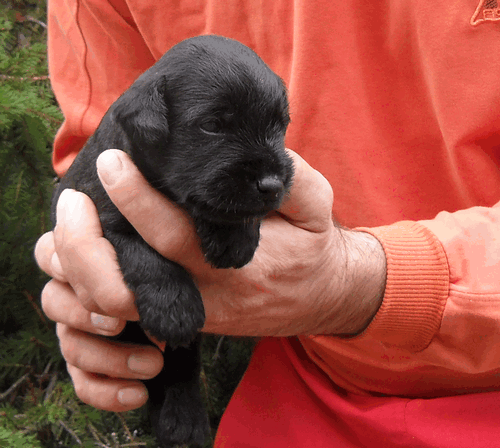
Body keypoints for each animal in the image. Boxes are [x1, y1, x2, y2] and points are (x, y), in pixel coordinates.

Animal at [50, 36, 292, 448]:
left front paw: (234, 237)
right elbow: (145, 254)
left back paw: (183, 420)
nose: (273, 184)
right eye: (213, 125)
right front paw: (174, 306)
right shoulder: (102, 215)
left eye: (280, 125)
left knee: (181, 365)